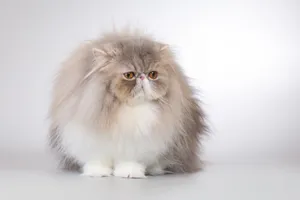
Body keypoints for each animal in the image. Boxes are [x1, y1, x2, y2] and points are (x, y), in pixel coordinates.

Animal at [48, 30, 206, 178]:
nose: (142, 76)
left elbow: (129, 161)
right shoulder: (90, 140)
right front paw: (97, 172)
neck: (127, 110)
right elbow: (97, 160)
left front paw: (129, 173)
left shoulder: (135, 144)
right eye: (129, 75)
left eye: (153, 74)